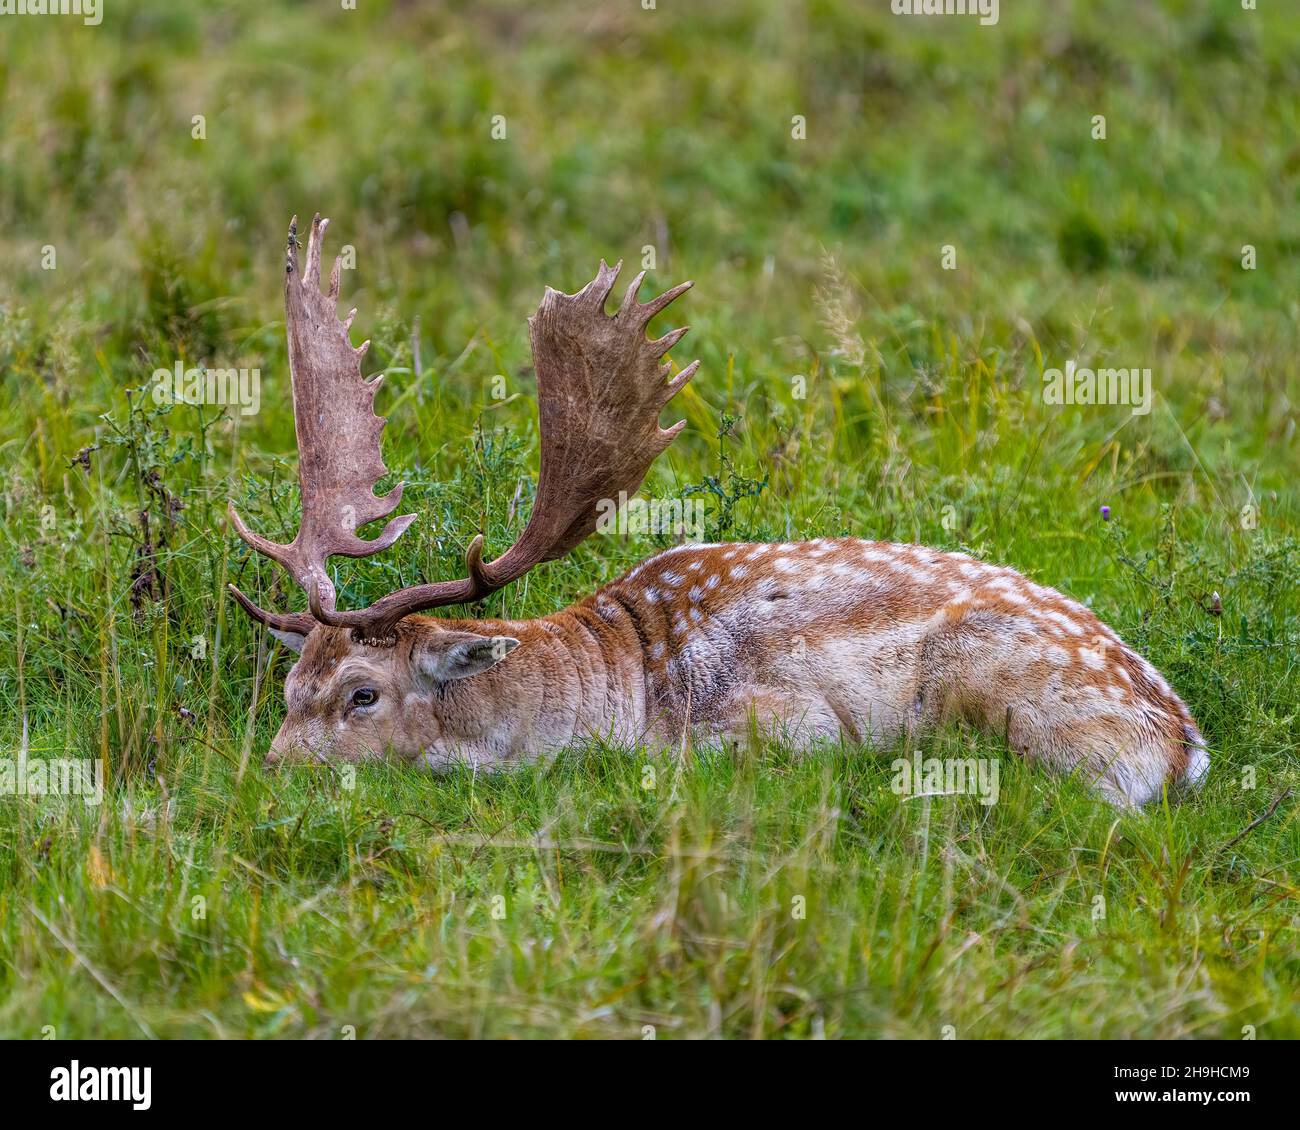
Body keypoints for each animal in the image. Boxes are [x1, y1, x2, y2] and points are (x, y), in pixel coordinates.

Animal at [226, 215, 1206, 806]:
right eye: (289, 689)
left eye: (361, 694)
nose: (266, 776)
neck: (620, 686)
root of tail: (1183, 745)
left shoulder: (785, 721)